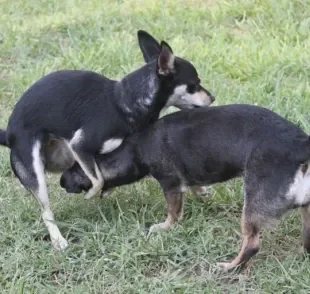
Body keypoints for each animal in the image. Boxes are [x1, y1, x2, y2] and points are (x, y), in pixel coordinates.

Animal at [0, 30, 213, 250]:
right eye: (194, 85)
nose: (212, 98)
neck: (125, 101)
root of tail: (9, 134)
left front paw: (198, 189)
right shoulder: (81, 146)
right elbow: (98, 180)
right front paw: (93, 194)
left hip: (62, 157)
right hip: (36, 172)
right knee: (46, 211)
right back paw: (58, 239)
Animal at [60, 105, 310, 272]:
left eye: (74, 169)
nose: (61, 182)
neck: (134, 149)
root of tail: (301, 147)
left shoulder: (170, 184)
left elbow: (173, 212)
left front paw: (164, 227)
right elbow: (196, 187)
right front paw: (202, 194)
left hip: (253, 205)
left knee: (252, 245)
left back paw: (229, 266)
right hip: (306, 212)